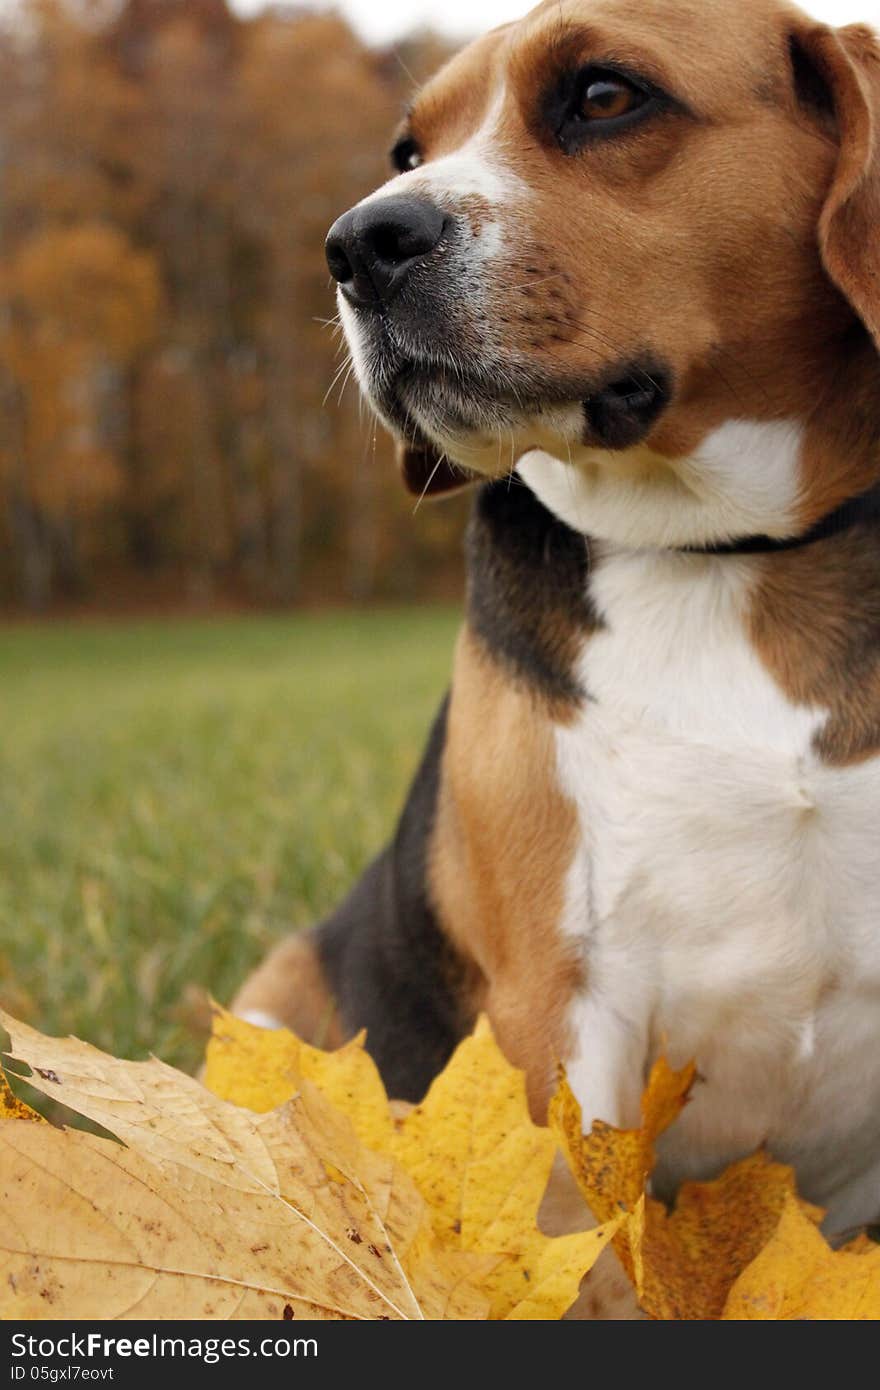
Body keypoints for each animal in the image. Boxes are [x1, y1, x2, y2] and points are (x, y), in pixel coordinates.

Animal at [232, 0, 878, 1278]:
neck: (722, 554)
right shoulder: (559, 1015)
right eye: (408, 150)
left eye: (604, 96)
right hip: (276, 1000)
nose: (357, 244)